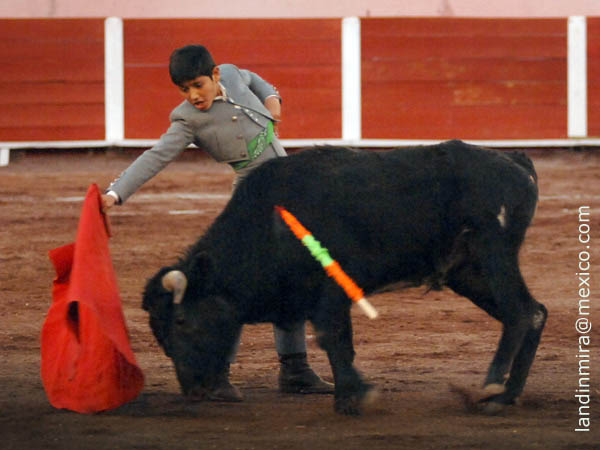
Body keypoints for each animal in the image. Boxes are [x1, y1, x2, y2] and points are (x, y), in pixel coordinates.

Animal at [142, 140, 547, 415]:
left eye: (181, 320)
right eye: (159, 333)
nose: (193, 390)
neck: (269, 224)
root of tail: (514, 160)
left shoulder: (334, 287)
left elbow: (331, 336)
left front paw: (356, 394)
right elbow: (339, 341)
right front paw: (347, 394)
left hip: (493, 253)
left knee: (519, 314)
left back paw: (490, 391)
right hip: (467, 273)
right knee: (536, 313)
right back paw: (508, 394)